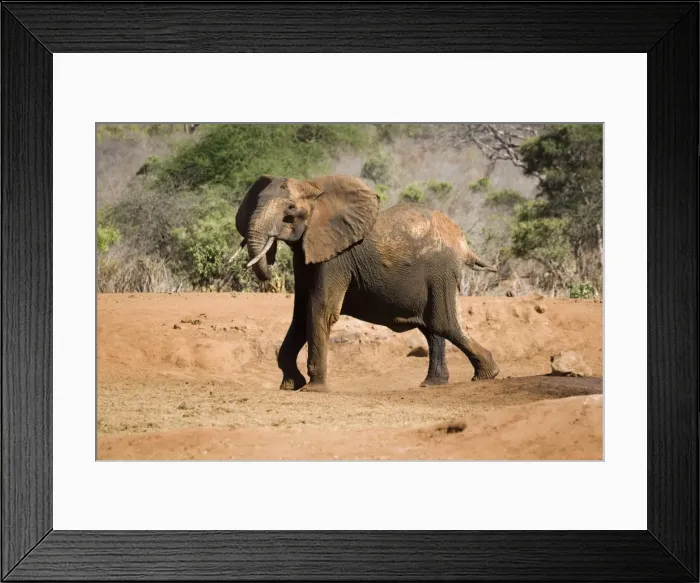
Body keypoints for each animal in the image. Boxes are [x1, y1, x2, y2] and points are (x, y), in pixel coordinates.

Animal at [235, 174, 500, 392]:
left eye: (290, 210)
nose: (268, 269)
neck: (314, 188)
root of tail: (462, 241)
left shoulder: (336, 258)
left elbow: (320, 309)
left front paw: (313, 389)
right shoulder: (305, 254)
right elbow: (300, 314)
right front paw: (291, 385)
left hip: (440, 273)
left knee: (443, 322)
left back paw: (488, 374)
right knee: (432, 327)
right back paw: (434, 384)